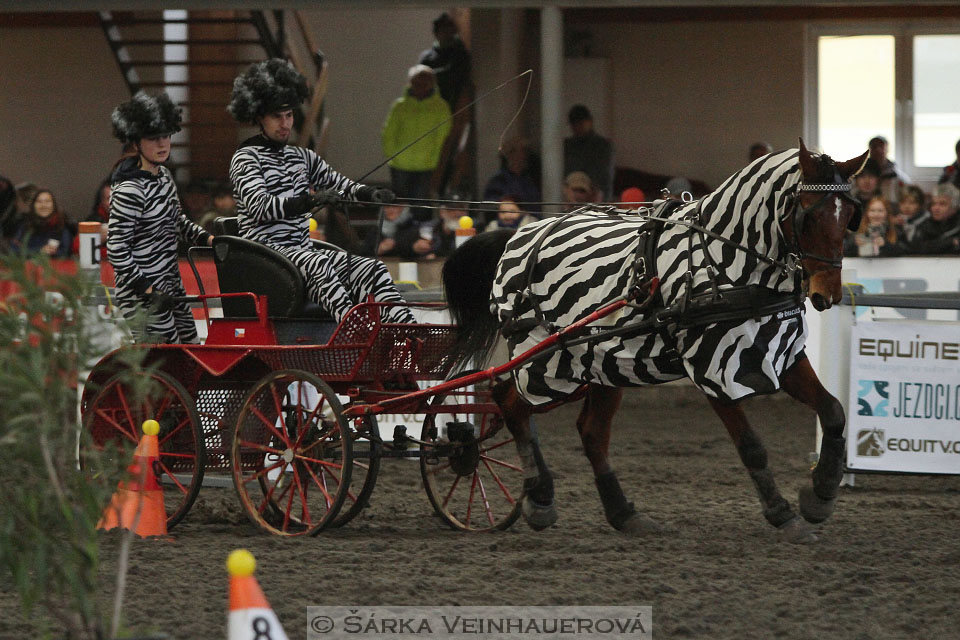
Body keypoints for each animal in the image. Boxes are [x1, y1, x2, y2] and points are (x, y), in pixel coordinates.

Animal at [442, 139, 872, 540]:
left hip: (600, 362)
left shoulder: (780, 353)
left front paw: (820, 495)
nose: (828, 295)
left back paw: (623, 514)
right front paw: (784, 515)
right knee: (510, 402)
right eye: (808, 213)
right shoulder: (712, 365)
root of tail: (519, 234)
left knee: (591, 433)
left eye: (849, 215)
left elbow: (834, 411)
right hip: (545, 361)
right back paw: (539, 497)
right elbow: (752, 447)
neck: (723, 260)